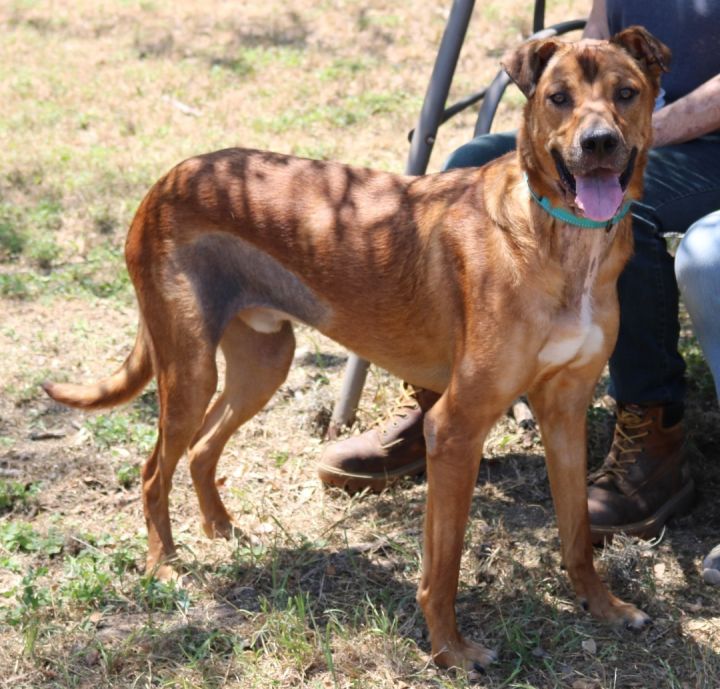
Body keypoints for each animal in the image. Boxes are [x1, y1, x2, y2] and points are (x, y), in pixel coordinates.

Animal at [46, 29, 668, 668]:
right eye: (558, 98)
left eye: (626, 93)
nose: (599, 144)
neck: (562, 240)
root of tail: (167, 179)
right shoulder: (456, 427)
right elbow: (444, 566)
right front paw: (450, 650)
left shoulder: (564, 411)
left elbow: (577, 534)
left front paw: (604, 605)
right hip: (190, 370)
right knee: (153, 470)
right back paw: (165, 566)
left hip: (264, 363)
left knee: (200, 451)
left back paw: (222, 531)